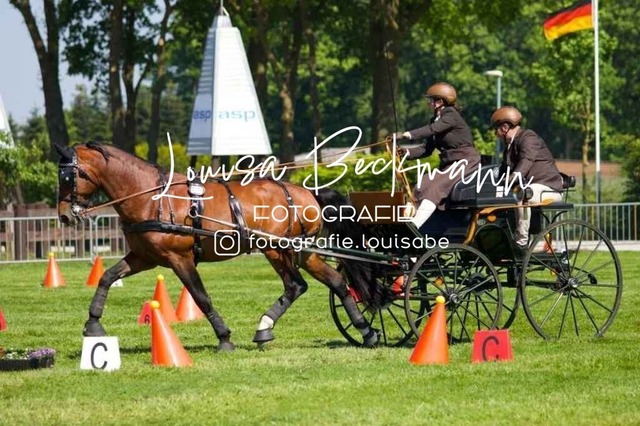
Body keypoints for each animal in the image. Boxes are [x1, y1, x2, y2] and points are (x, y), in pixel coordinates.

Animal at [55, 142, 382, 351]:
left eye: (67, 175)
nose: (63, 215)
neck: (151, 197)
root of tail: (308, 192)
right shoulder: (144, 257)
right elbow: (107, 277)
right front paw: (93, 324)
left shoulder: (179, 258)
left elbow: (201, 297)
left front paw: (224, 337)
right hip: (303, 252)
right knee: (336, 281)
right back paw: (366, 332)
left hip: (277, 250)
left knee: (295, 286)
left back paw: (264, 328)